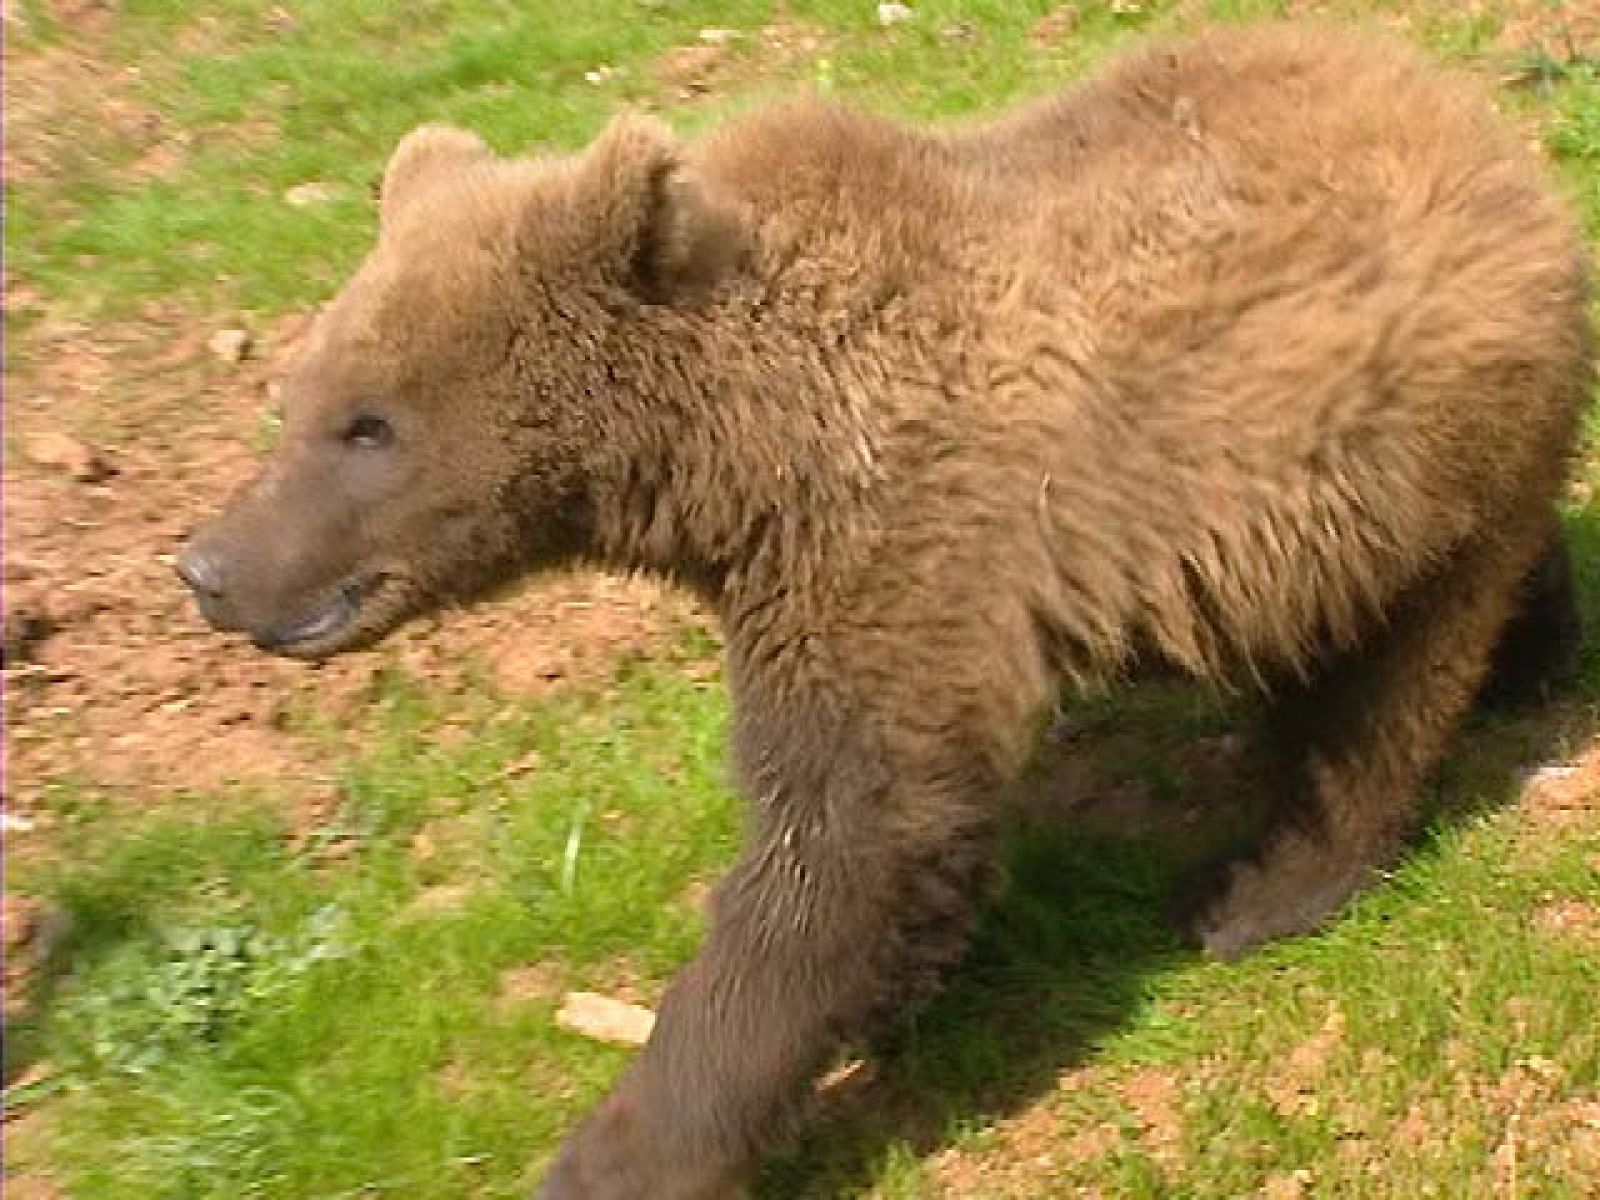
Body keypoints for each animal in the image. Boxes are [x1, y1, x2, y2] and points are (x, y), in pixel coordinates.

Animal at [178, 21, 1587, 1200]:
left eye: (370, 425)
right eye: (300, 397)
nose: (209, 566)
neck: (734, 454)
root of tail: (1483, 127)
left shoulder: (896, 547)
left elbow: (849, 847)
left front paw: (612, 1151)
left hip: (1394, 447)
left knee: (1390, 676)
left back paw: (1259, 885)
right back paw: (1536, 653)